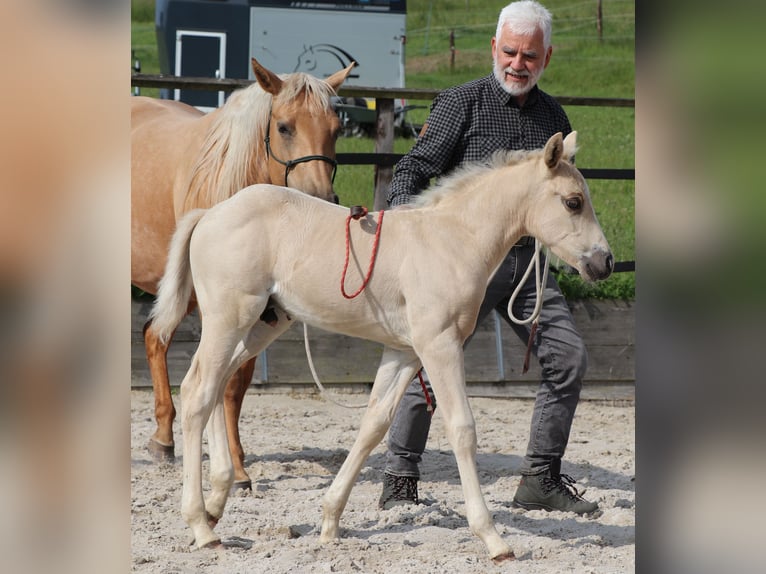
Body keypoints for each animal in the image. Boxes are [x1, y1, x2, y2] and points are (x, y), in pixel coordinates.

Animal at [133, 57, 356, 490]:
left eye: (336, 130)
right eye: (284, 126)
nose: (320, 198)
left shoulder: (262, 311)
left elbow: (235, 384)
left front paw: (236, 465)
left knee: (155, 337)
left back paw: (164, 439)